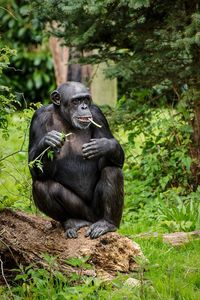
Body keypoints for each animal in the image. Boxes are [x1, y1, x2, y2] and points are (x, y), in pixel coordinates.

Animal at [28, 81, 124, 239]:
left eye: (86, 99)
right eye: (76, 101)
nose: (84, 107)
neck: (63, 117)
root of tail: (91, 220)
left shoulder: (98, 115)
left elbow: (116, 160)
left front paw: (104, 146)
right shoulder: (37, 119)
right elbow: (35, 168)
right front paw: (48, 141)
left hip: (97, 213)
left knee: (112, 171)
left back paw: (107, 223)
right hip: (84, 213)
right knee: (41, 185)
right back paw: (73, 222)